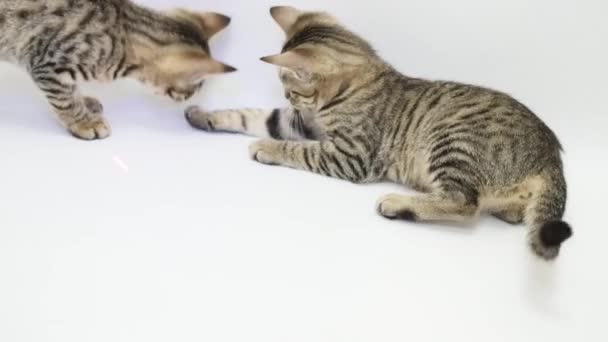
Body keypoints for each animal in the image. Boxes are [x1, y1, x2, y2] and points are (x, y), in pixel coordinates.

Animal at [0, 0, 235, 140]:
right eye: (194, 90)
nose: (188, 100)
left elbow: (73, 91)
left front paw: (85, 103)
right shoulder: (48, 66)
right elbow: (65, 102)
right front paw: (84, 123)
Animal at [188, 6, 572, 260]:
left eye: (289, 87)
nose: (287, 97)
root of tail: (551, 155)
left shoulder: (350, 155)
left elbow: (299, 150)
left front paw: (266, 147)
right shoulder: (299, 123)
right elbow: (250, 115)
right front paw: (203, 114)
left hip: (452, 141)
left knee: (464, 203)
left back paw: (398, 204)